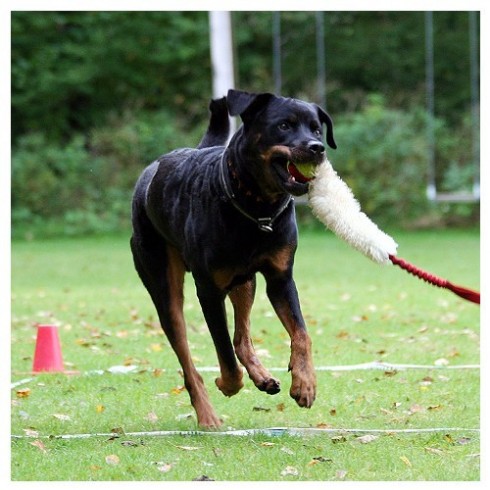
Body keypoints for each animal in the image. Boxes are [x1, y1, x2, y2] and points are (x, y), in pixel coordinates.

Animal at [131, 90, 336, 426]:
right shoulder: (208, 290)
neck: (258, 206)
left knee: (242, 335)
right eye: (284, 125)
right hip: (162, 283)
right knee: (187, 359)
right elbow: (224, 353)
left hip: (244, 281)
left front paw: (305, 383)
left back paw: (262, 376)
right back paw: (207, 415)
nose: (316, 148)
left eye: (317, 129)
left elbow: (301, 333)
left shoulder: (281, 278)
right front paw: (228, 384)